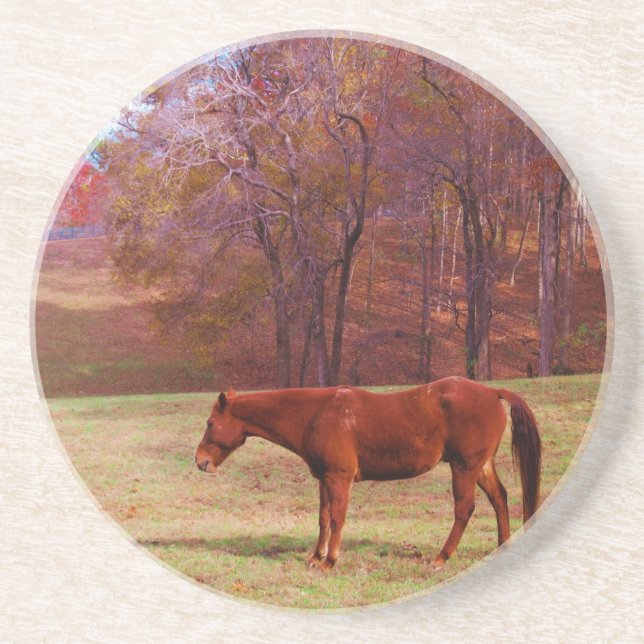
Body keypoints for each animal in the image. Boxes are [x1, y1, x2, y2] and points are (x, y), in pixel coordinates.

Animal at [195, 376, 541, 571]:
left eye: (211, 424)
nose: (200, 461)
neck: (316, 414)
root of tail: (492, 392)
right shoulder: (324, 479)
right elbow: (323, 518)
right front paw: (315, 557)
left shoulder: (340, 478)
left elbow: (337, 519)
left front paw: (330, 561)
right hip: (481, 466)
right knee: (500, 498)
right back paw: (502, 547)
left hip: (464, 467)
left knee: (464, 509)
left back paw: (441, 557)